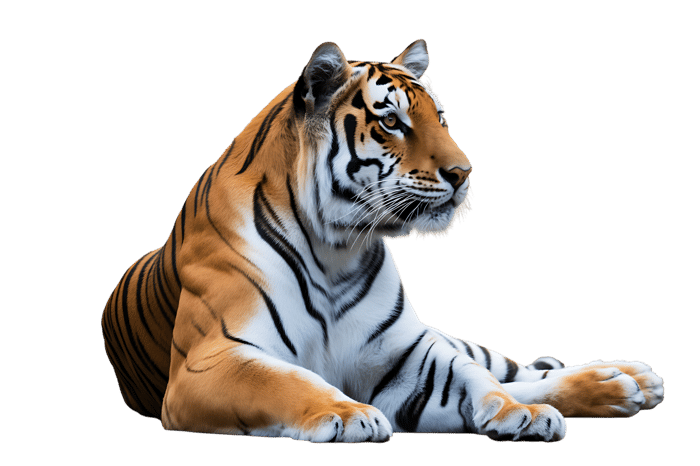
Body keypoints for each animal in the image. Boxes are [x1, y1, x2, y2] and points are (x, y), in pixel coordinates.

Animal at [101, 39, 664, 443]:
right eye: (392, 121)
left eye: (440, 118)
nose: (463, 172)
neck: (336, 249)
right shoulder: (209, 362)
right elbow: (287, 380)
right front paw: (347, 412)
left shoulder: (407, 356)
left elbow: (475, 380)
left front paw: (520, 413)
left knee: (511, 368)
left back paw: (625, 381)